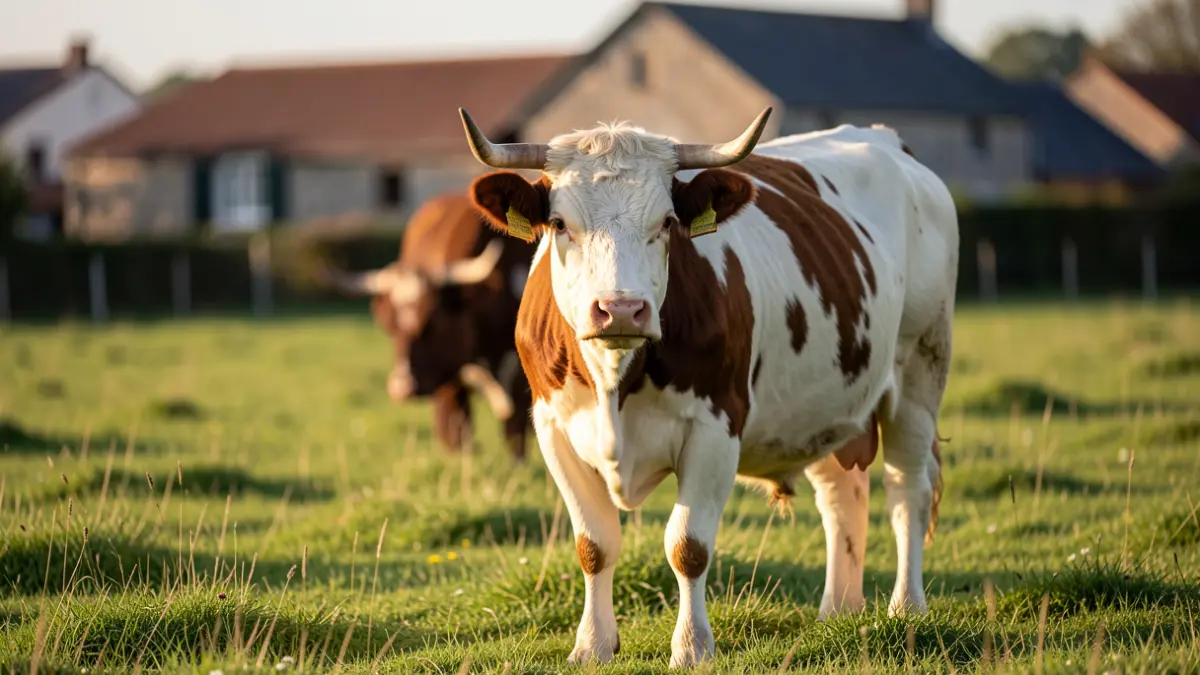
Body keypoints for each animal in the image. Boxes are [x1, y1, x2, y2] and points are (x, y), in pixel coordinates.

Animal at [319, 192, 536, 460]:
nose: (401, 388)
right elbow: (458, 439)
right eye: (390, 326)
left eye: (432, 321)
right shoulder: (448, 383)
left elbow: (516, 440)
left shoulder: (520, 382)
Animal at [457, 106, 958, 668]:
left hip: (919, 373)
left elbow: (688, 546)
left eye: (667, 223)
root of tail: (886, 141)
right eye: (561, 224)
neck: (615, 379)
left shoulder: (715, 430)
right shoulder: (553, 429)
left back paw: (906, 609)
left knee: (907, 491)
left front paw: (692, 647)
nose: (620, 309)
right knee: (841, 498)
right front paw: (591, 647)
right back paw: (838, 613)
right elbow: (594, 545)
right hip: (829, 403)